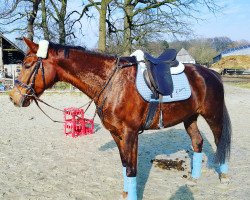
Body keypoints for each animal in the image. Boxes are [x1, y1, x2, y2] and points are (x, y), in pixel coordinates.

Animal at [9, 38, 232, 199]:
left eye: (27, 65)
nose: (13, 97)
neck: (112, 82)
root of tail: (211, 73)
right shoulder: (116, 133)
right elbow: (125, 165)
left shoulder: (130, 132)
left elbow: (132, 169)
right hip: (190, 117)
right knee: (197, 142)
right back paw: (194, 178)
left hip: (213, 116)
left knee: (220, 141)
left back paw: (224, 175)